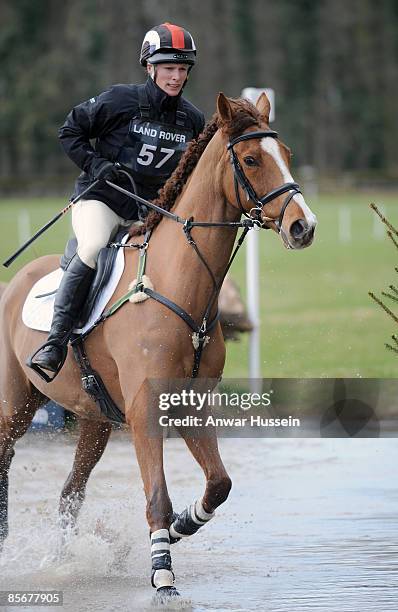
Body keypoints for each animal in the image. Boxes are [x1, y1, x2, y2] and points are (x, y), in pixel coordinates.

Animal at [0, 93, 318, 600]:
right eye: (251, 159)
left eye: (285, 154)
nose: (303, 226)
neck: (179, 283)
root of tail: (15, 282)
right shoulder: (145, 410)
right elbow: (156, 495)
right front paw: (163, 572)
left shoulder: (191, 404)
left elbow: (219, 484)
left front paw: (181, 526)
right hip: (16, 405)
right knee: (8, 456)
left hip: (95, 419)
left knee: (71, 492)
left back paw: (62, 561)